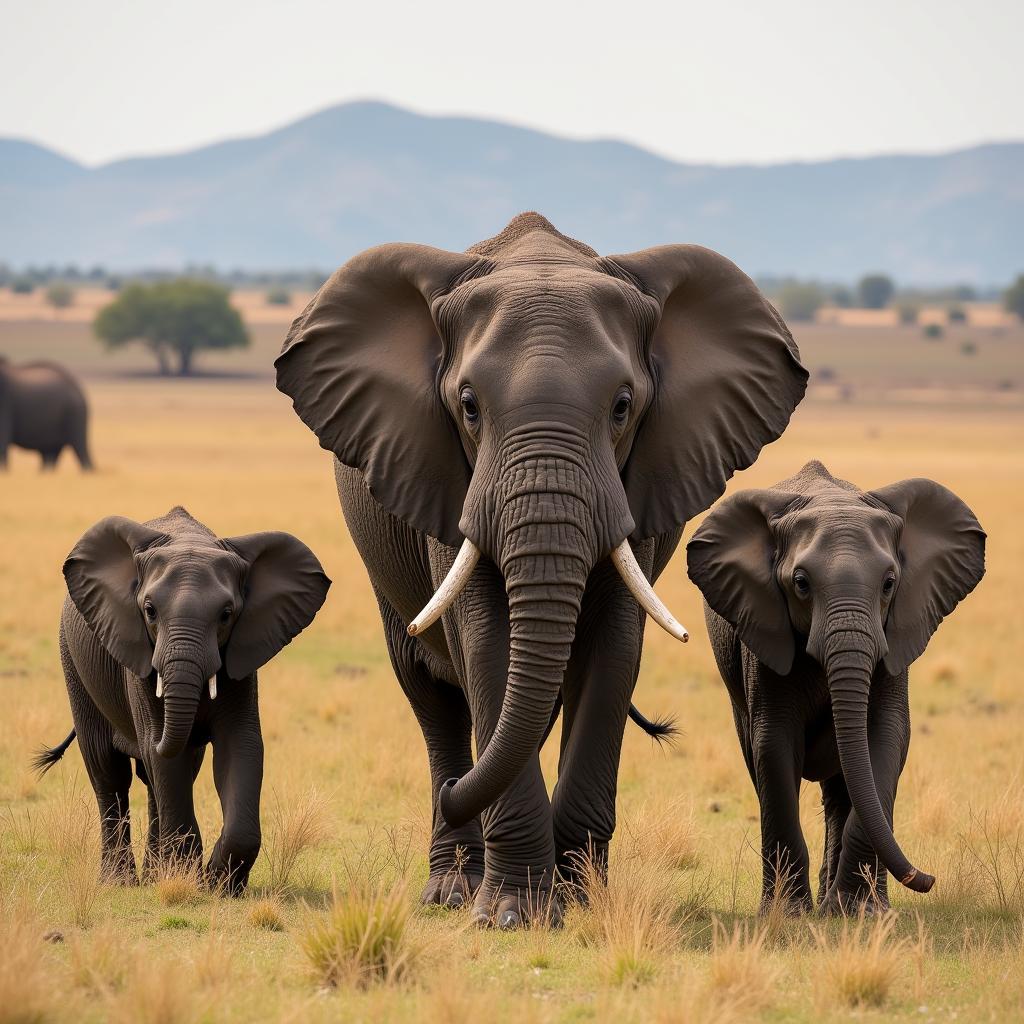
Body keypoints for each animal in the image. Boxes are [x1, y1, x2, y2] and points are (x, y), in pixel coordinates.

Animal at [36, 507, 329, 892]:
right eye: (149, 611)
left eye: (226, 614)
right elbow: (160, 753)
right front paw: (188, 880)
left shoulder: (241, 657)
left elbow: (240, 745)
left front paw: (217, 884)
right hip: (73, 661)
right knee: (109, 772)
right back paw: (120, 881)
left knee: (156, 779)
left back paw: (154, 874)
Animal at [278, 211, 806, 925]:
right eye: (469, 405)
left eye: (622, 406)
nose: (454, 791)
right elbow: (486, 642)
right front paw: (510, 913)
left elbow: (613, 649)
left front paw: (580, 902)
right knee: (430, 693)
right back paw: (452, 888)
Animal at [688, 462, 983, 913]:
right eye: (801, 583)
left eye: (889, 583)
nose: (927, 879)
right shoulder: (764, 635)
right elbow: (773, 743)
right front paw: (788, 916)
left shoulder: (893, 643)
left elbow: (884, 739)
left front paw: (860, 913)